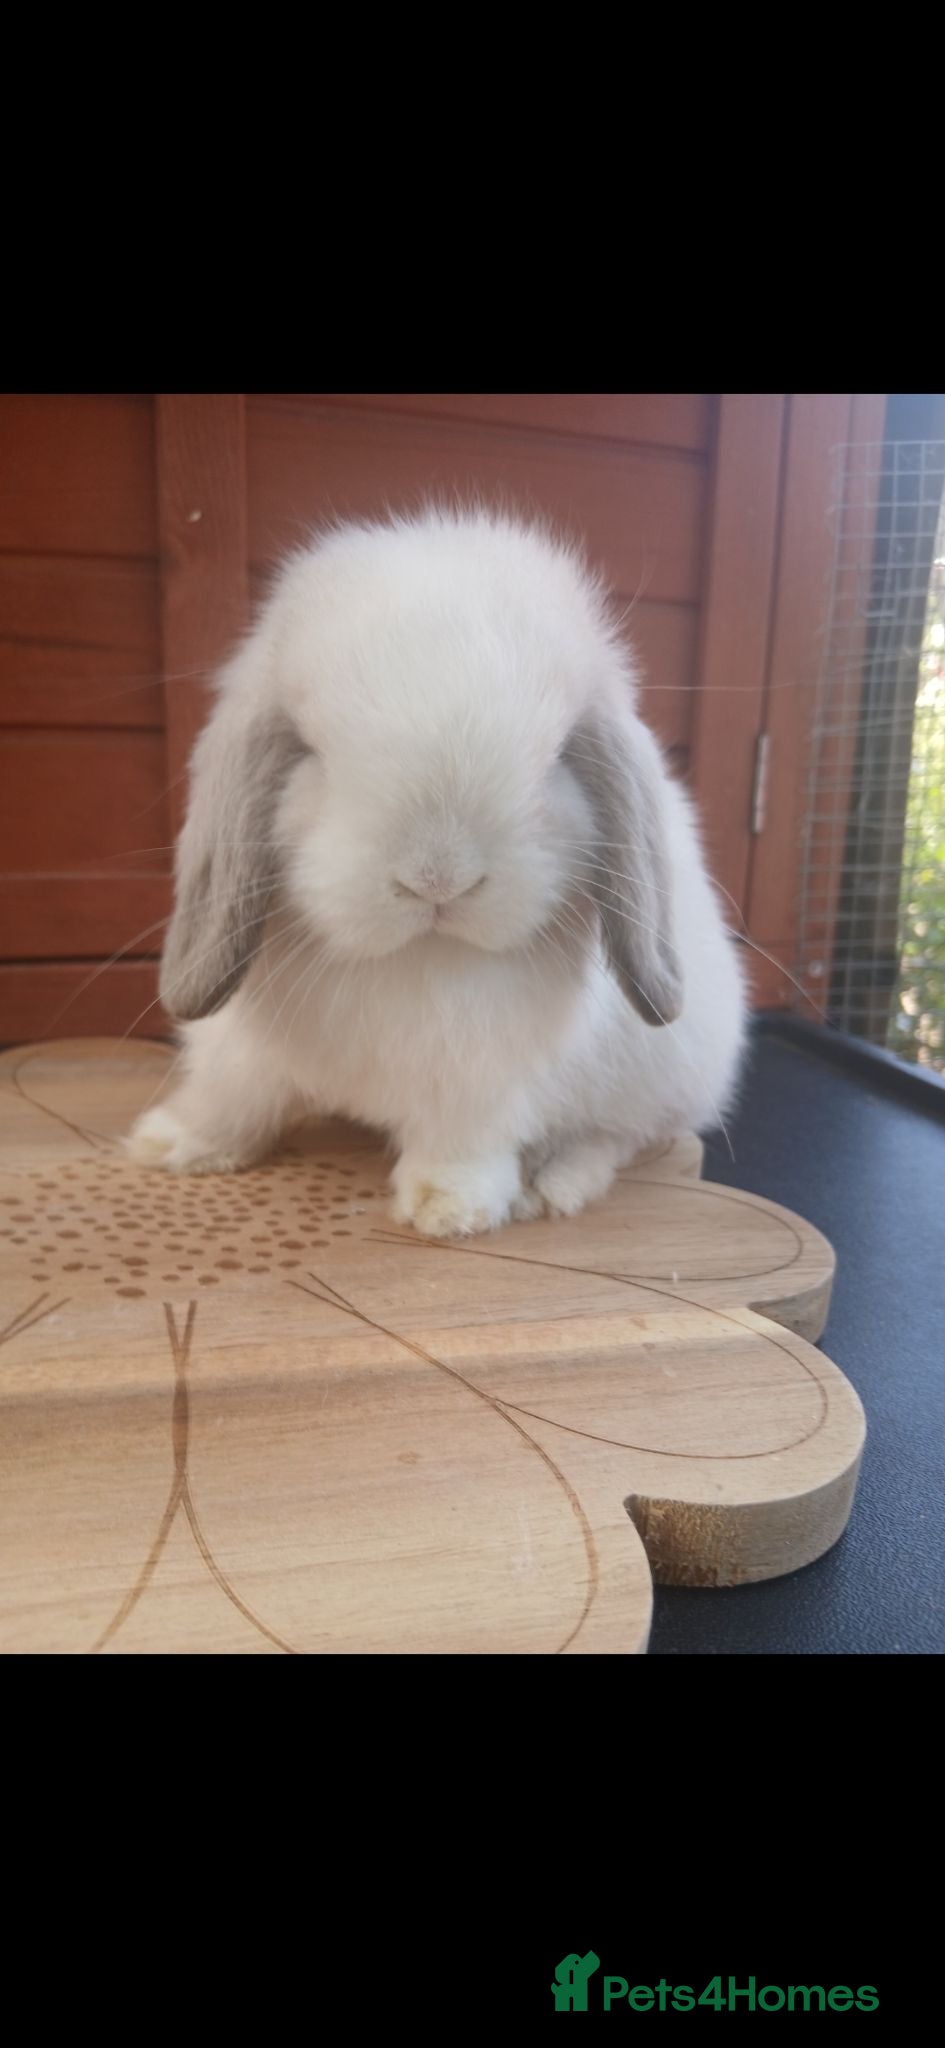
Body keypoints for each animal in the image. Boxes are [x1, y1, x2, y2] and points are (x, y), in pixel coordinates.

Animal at [127, 508, 747, 1237]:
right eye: (309, 751)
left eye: (559, 756)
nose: (437, 879)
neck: (413, 959)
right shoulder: (243, 1047)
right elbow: (231, 1095)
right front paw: (171, 1146)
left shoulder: (478, 1082)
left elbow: (460, 1139)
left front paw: (449, 1210)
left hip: (661, 1081)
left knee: (615, 1136)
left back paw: (552, 1182)